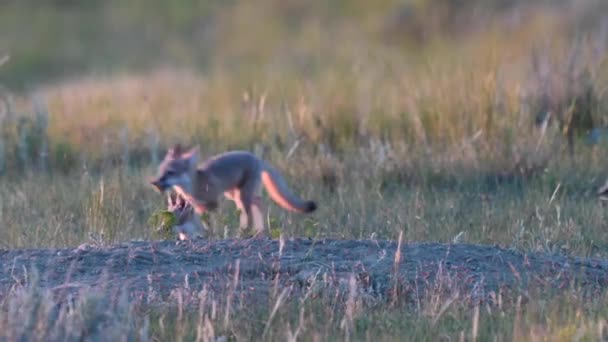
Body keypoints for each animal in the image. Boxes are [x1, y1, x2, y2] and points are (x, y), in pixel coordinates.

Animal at [150, 144, 318, 235]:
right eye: (160, 171)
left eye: (170, 172)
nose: (154, 182)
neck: (195, 186)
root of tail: (256, 157)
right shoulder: (198, 205)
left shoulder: (212, 204)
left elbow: (206, 220)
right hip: (235, 195)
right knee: (258, 202)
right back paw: (259, 230)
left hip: (241, 196)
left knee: (250, 210)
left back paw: (245, 231)